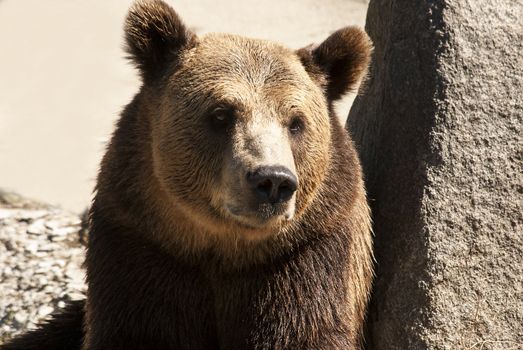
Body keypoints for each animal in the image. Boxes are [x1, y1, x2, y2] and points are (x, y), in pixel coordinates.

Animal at [2, 1, 374, 348]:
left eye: (296, 122)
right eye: (221, 114)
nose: (272, 180)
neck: (222, 248)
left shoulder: (301, 255)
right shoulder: (145, 245)